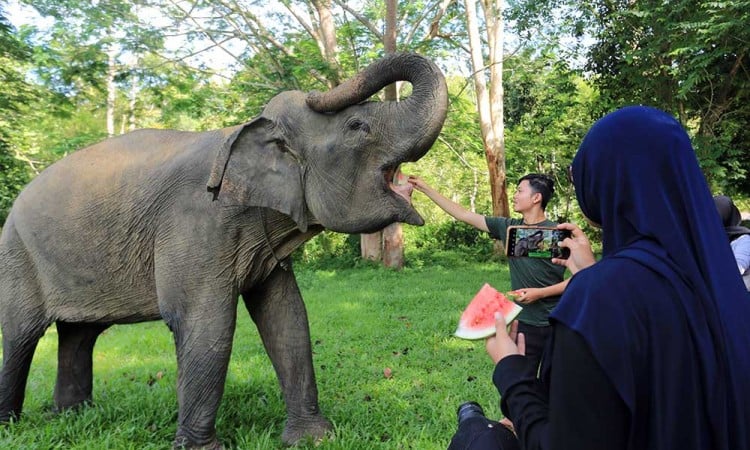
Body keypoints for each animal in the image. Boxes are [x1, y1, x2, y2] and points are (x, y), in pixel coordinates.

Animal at [0, 51, 446, 446]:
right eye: (357, 126)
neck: (246, 132)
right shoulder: (195, 223)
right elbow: (204, 322)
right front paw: (204, 447)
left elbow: (287, 317)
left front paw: (312, 439)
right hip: (16, 254)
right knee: (21, 336)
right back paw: (13, 424)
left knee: (78, 334)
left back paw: (73, 415)